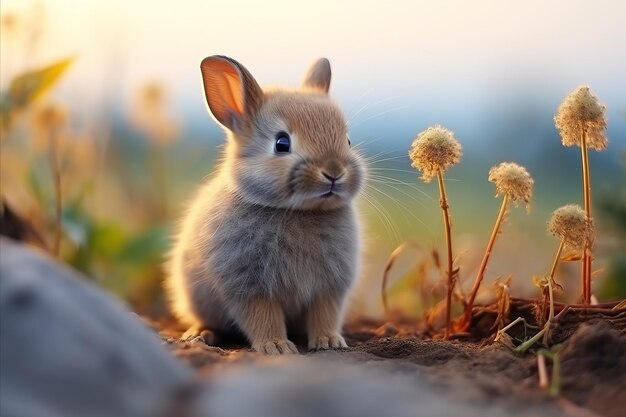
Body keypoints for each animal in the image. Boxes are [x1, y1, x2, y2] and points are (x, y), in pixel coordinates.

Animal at [165, 55, 366, 354]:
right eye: (281, 143)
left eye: (348, 140)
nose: (333, 171)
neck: (298, 211)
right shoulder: (248, 286)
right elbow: (263, 316)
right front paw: (276, 347)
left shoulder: (329, 288)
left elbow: (325, 314)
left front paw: (330, 342)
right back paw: (200, 334)